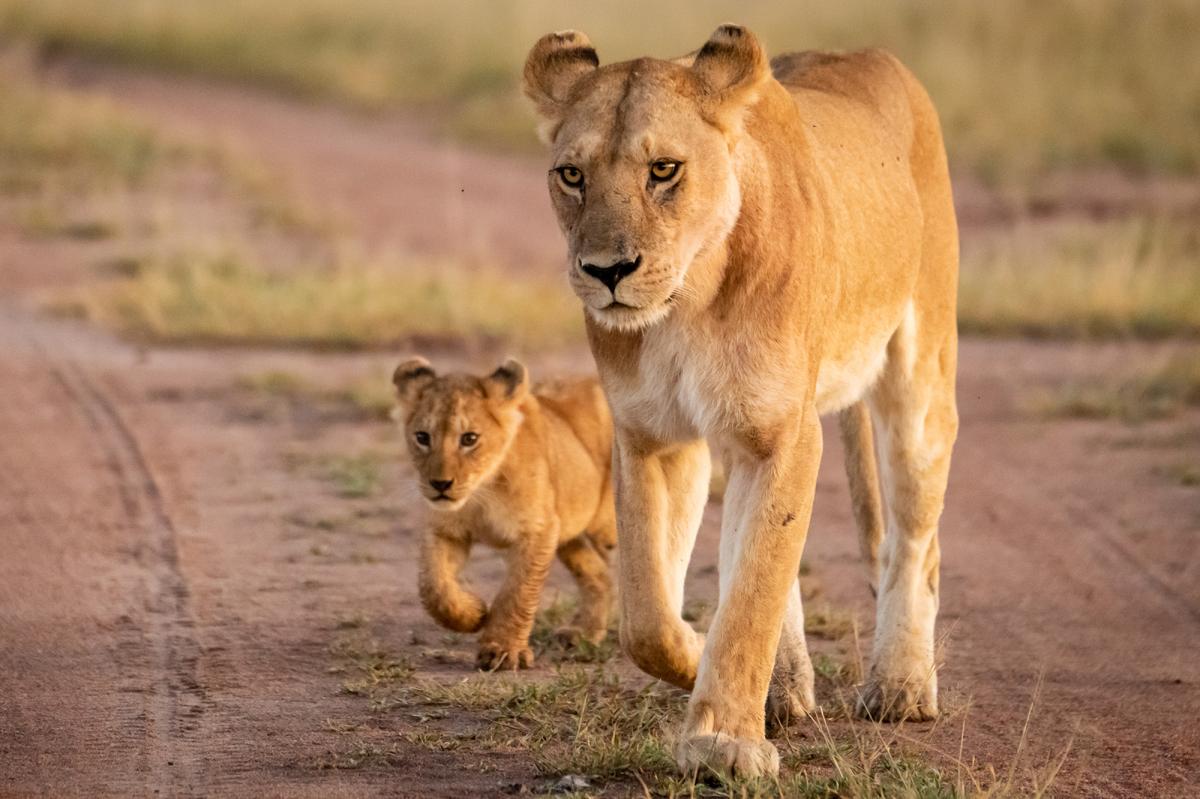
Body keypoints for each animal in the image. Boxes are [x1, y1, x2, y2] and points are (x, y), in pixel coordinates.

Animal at [392, 357, 617, 670]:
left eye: (469, 439)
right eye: (422, 437)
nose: (440, 485)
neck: (482, 492)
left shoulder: (537, 531)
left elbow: (518, 592)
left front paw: (502, 650)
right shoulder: (445, 530)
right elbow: (434, 586)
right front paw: (474, 614)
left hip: (609, 526)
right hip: (569, 534)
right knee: (599, 574)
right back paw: (583, 633)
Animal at [524, 25, 959, 777]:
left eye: (664, 170)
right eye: (572, 175)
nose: (607, 271)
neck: (687, 304)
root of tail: (870, 54)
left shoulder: (783, 434)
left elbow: (753, 591)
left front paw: (723, 740)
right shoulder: (652, 435)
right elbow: (649, 615)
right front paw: (701, 659)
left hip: (919, 384)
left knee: (912, 538)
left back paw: (900, 685)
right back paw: (783, 691)